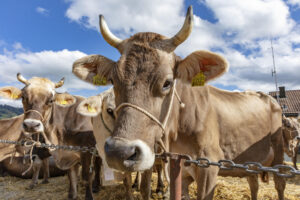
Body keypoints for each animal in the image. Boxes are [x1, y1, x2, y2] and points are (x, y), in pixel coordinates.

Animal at [72, 6, 286, 200]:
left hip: (279, 156)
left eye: (167, 82)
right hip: (252, 163)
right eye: (113, 81)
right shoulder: (180, 172)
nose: (119, 152)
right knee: (253, 183)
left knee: (279, 185)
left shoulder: (209, 165)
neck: (178, 132)